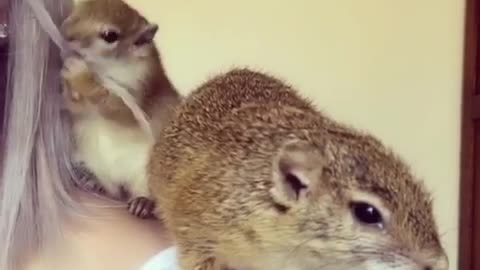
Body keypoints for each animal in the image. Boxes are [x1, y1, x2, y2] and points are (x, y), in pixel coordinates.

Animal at [60, 0, 180, 217]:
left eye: (110, 35)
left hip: (145, 177)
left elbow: (115, 108)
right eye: (78, 8)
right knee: (111, 189)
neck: (107, 68)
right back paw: (93, 181)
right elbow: (75, 105)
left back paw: (143, 203)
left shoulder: (139, 97)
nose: (65, 34)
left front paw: (78, 73)